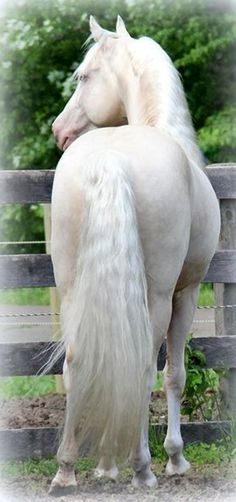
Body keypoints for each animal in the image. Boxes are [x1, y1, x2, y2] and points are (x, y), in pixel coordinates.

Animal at [48, 14, 220, 494]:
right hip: (157, 297)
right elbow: (174, 375)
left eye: (84, 76)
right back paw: (142, 467)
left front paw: (106, 466)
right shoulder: (187, 292)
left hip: (72, 288)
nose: (58, 130)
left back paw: (68, 469)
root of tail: (108, 158)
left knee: (78, 364)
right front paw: (175, 458)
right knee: (142, 368)